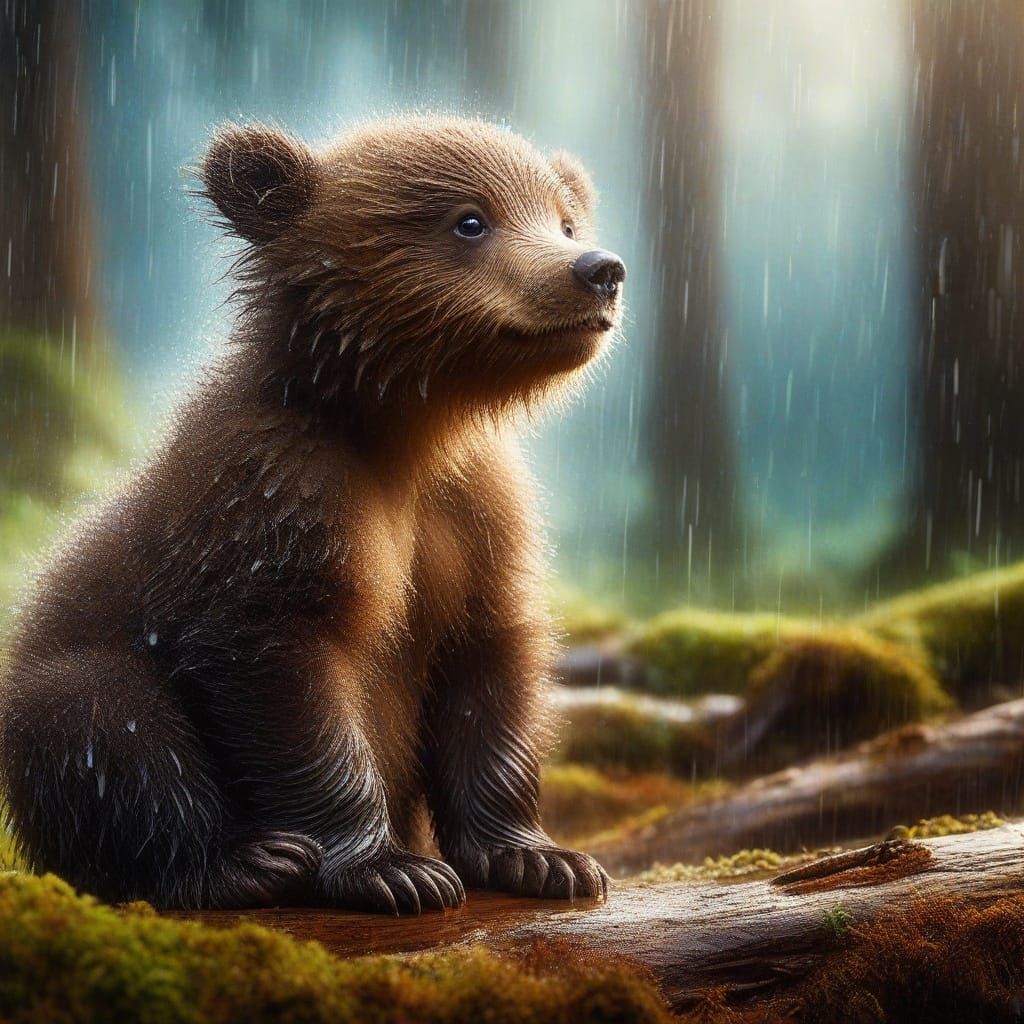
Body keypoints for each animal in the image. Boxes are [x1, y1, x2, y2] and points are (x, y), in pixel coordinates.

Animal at [0, 116, 626, 912]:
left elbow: (489, 664)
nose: (599, 268)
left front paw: (543, 859)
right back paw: (240, 862)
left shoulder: (477, 512)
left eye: (564, 218)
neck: (406, 433)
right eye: (470, 220)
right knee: (101, 713)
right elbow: (285, 678)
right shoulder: (278, 495)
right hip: (64, 680)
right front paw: (394, 869)